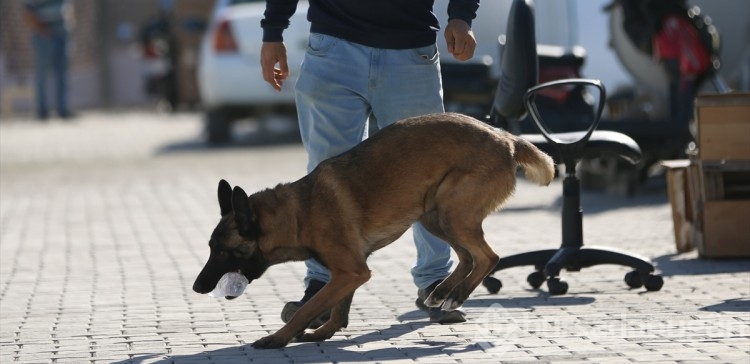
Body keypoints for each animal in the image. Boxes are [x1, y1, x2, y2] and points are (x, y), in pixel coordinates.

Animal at [194, 112, 560, 348]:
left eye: (224, 251)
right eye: (211, 248)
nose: (197, 287)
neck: (298, 212)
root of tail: (506, 137)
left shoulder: (350, 271)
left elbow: (310, 309)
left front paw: (278, 338)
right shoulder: (351, 272)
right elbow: (338, 310)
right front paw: (324, 333)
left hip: (450, 211)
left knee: (488, 257)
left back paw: (454, 295)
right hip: (432, 214)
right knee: (468, 258)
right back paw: (442, 292)